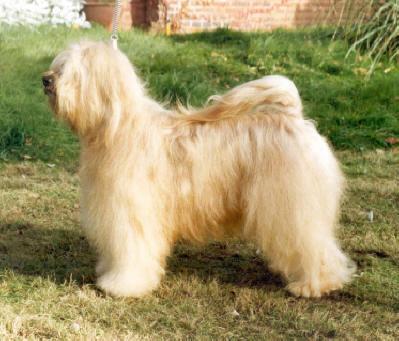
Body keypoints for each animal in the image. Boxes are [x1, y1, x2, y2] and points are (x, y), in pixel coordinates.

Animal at [43, 40, 356, 298]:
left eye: (71, 72)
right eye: (58, 66)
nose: (45, 79)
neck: (116, 127)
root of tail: (293, 116)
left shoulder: (132, 213)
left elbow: (132, 250)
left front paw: (123, 285)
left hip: (293, 208)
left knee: (314, 244)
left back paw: (314, 284)